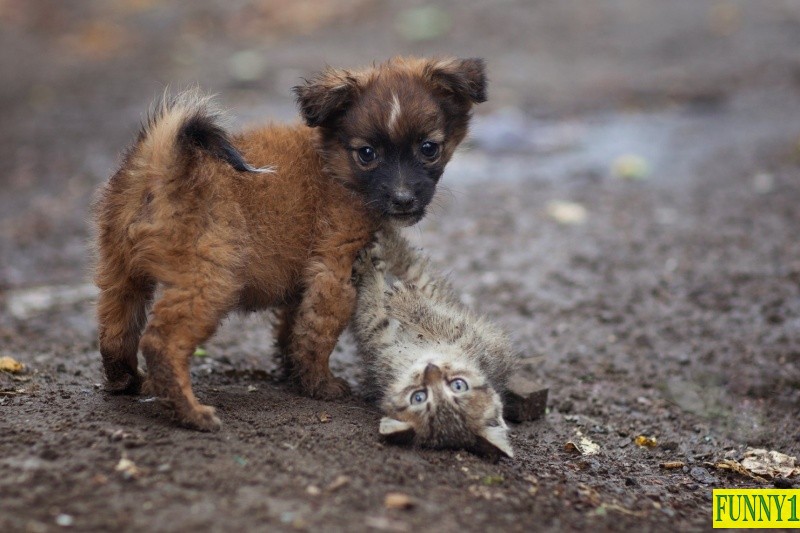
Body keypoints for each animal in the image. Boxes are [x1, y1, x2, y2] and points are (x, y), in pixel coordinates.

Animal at [90, 56, 484, 430]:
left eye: (429, 148)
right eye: (367, 153)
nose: (403, 200)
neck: (334, 166)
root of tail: (161, 165)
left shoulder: (304, 283)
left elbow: (294, 330)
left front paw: (294, 376)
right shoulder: (335, 272)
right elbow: (318, 334)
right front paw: (320, 385)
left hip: (120, 271)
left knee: (114, 330)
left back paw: (126, 381)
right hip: (209, 280)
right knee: (161, 343)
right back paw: (191, 413)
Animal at [352, 227, 520, 456]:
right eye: (459, 385)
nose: (431, 370)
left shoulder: (381, 339)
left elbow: (376, 308)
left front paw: (372, 272)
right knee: (415, 268)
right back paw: (389, 242)